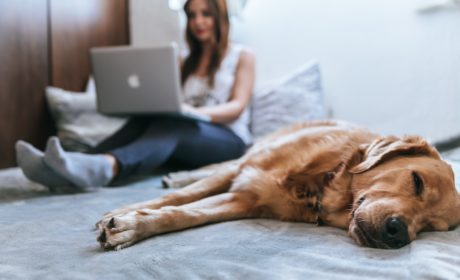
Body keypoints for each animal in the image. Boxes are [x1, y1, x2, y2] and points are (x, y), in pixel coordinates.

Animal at [95, 121, 458, 250]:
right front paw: (126, 213)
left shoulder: (241, 200)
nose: (399, 233)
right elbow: (184, 196)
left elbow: (184, 214)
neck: (321, 182)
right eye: (416, 180)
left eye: (432, 227)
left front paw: (132, 226)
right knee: (212, 169)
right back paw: (178, 174)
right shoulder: (243, 172)